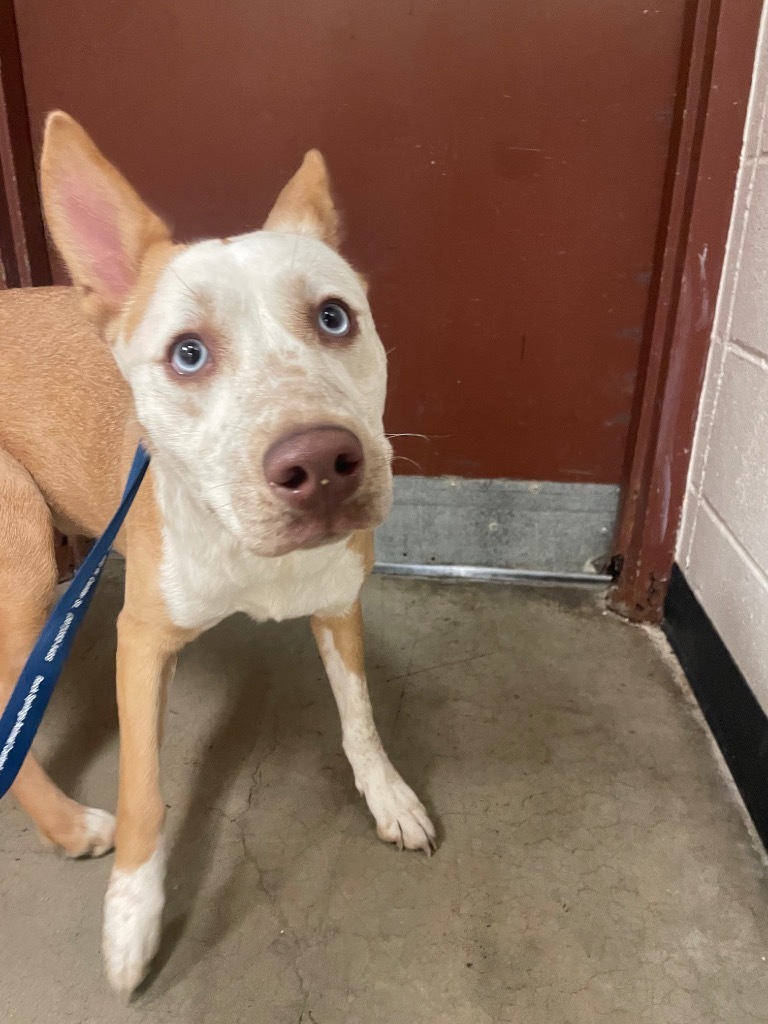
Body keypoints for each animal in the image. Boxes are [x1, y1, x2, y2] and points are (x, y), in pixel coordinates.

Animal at [0, 112, 436, 991]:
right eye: (188, 353)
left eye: (334, 317)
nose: (320, 465)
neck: (249, 550)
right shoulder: (140, 643)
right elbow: (145, 793)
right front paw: (132, 917)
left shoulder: (339, 604)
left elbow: (360, 718)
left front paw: (387, 795)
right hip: (23, 541)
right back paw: (67, 826)